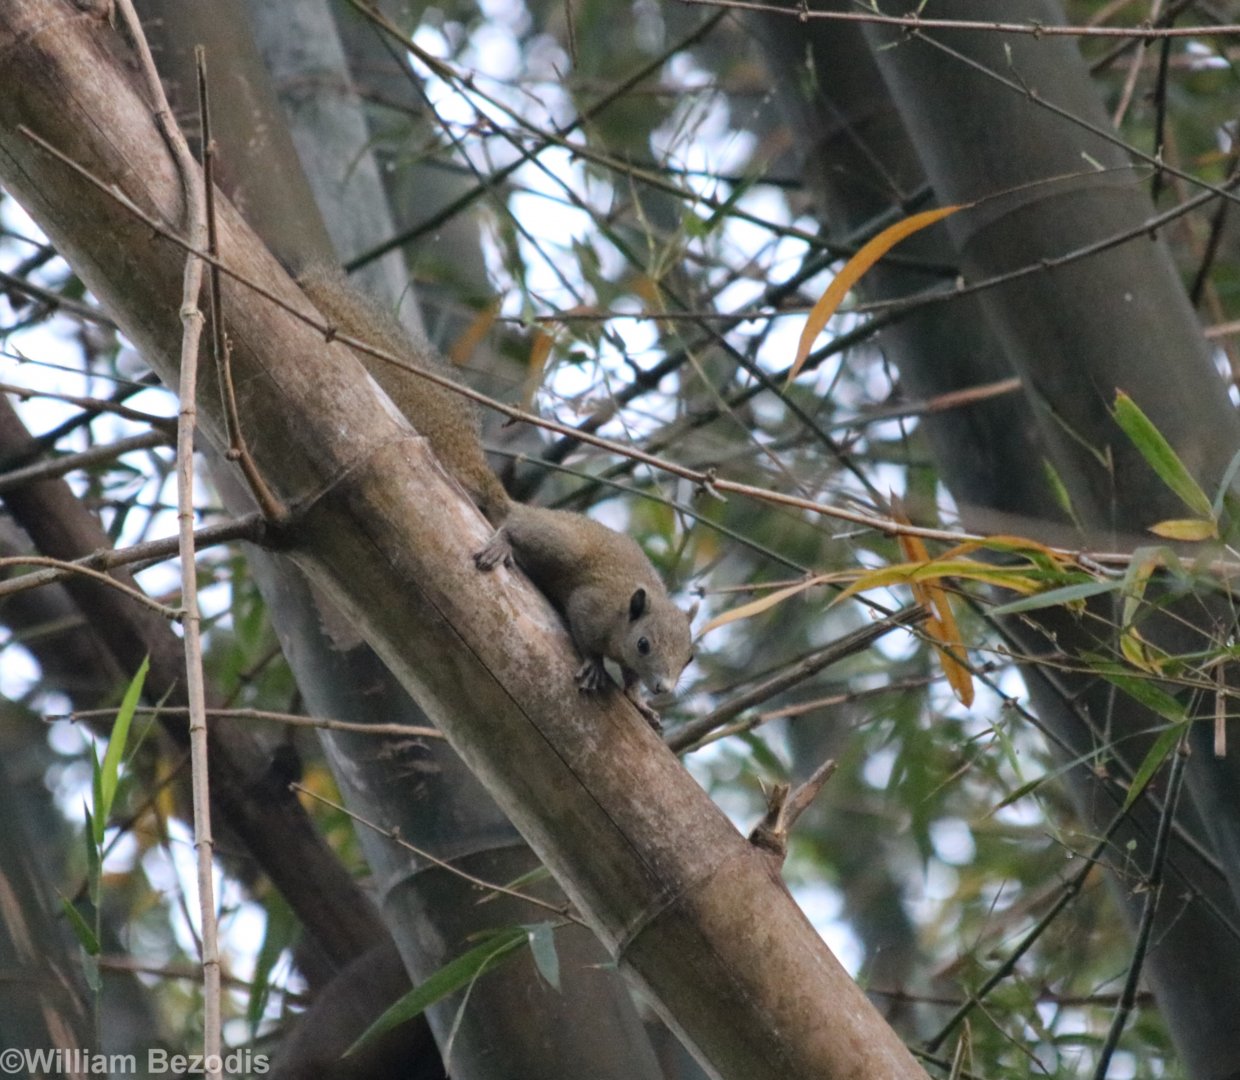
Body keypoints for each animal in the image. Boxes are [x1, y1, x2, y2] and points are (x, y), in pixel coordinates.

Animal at [299, 268, 695, 727]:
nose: (664, 687)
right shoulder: (593, 607)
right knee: (515, 529)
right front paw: (597, 666)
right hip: (554, 542)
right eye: (645, 644)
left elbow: (630, 680)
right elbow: (585, 633)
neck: (623, 618)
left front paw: (640, 700)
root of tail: (516, 503)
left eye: (689, 657)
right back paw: (502, 545)